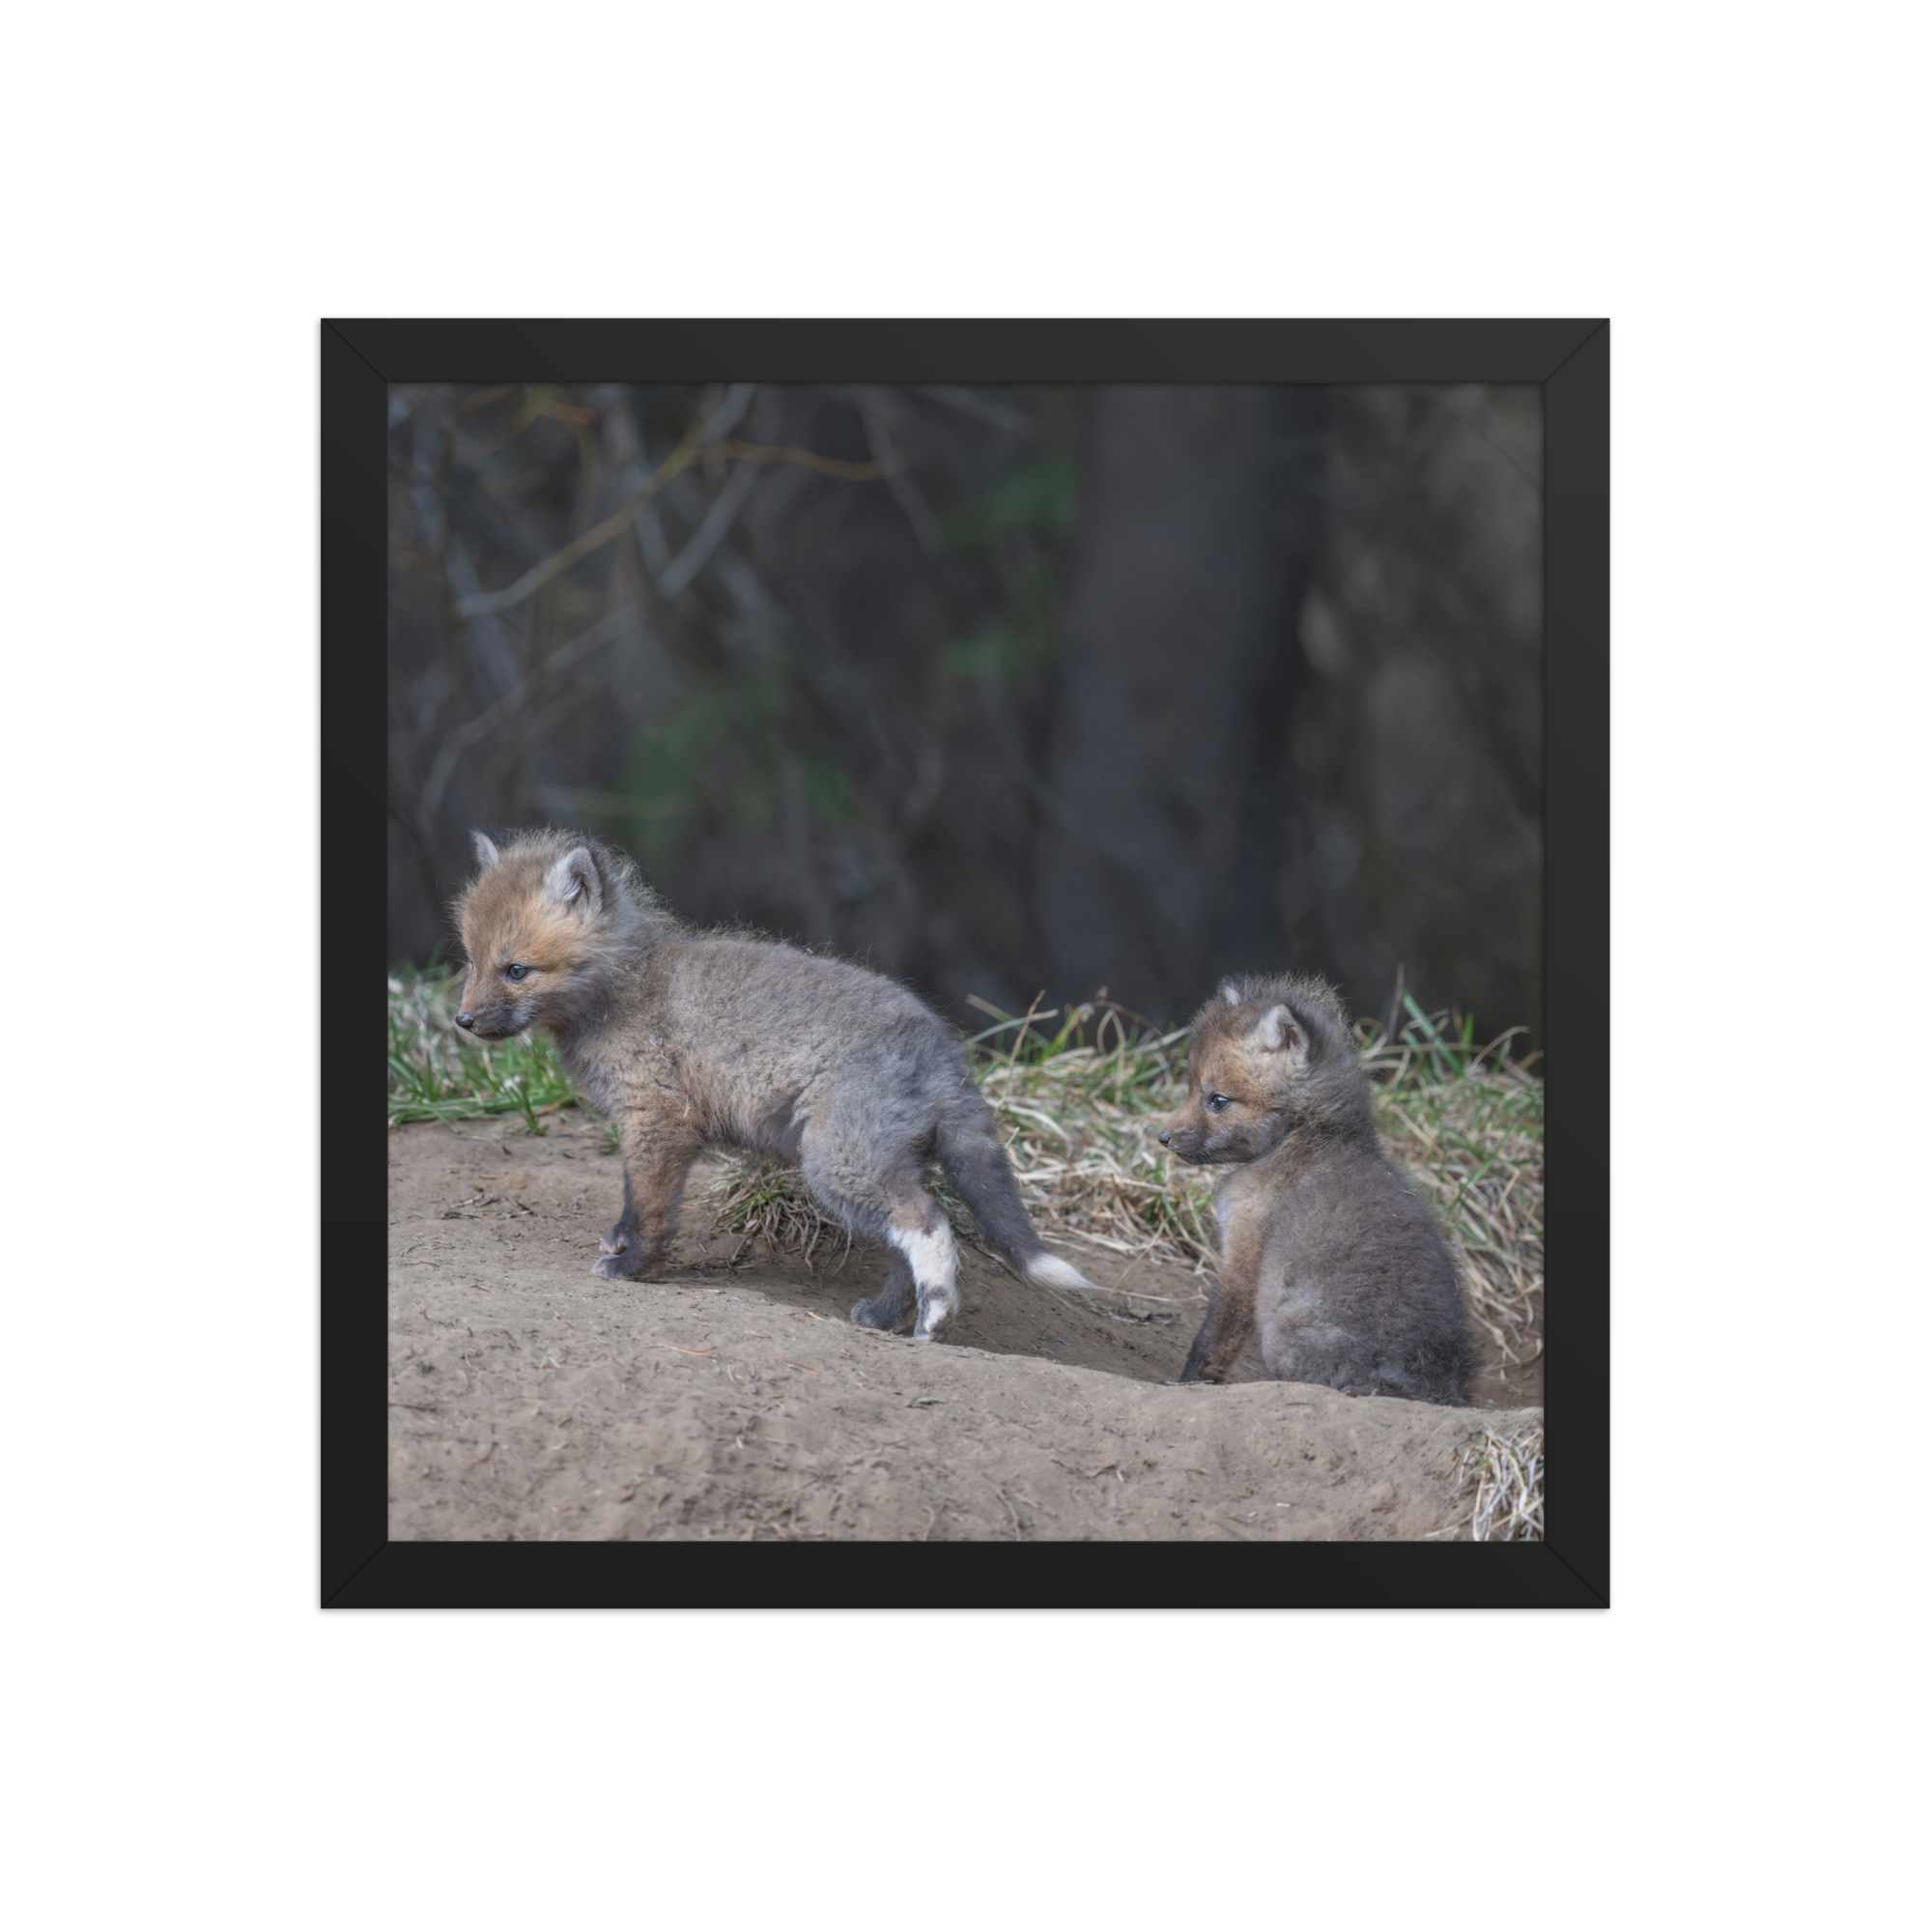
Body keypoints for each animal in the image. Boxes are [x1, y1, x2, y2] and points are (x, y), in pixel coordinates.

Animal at [452, 827, 1095, 1340]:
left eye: (516, 970)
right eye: (471, 961)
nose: (462, 1021)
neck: (626, 987)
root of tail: (945, 1052)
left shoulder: (659, 1118)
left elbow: (649, 1206)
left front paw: (634, 1266)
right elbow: (636, 1199)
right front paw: (622, 1244)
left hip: (838, 1164)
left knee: (928, 1221)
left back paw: (937, 1316)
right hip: (866, 1170)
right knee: (900, 1246)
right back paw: (886, 1318)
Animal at [1158, 973, 1470, 1404]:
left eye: (1218, 1100)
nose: (1163, 1137)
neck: (1307, 1137)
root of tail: (1430, 1389)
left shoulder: (1244, 1249)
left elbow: (1214, 1336)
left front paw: (1187, 1384)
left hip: (1280, 1336)